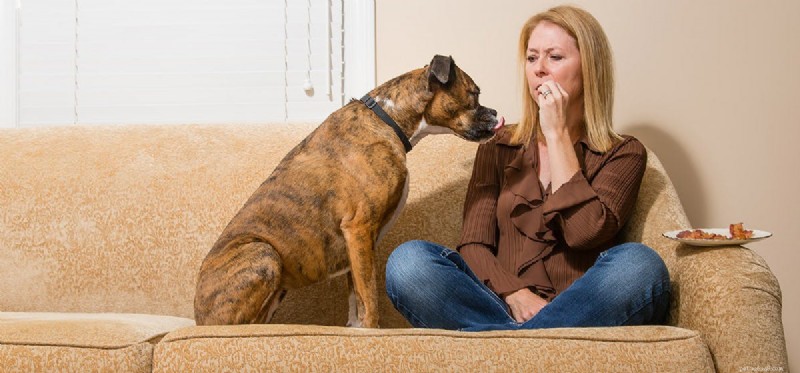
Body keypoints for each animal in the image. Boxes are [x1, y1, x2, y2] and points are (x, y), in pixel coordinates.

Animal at [194, 54, 504, 326]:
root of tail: (198, 317)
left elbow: (357, 298)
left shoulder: (355, 244)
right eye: (475, 94)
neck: (388, 118)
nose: (496, 112)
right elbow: (370, 296)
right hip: (263, 253)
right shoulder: (359, 228)